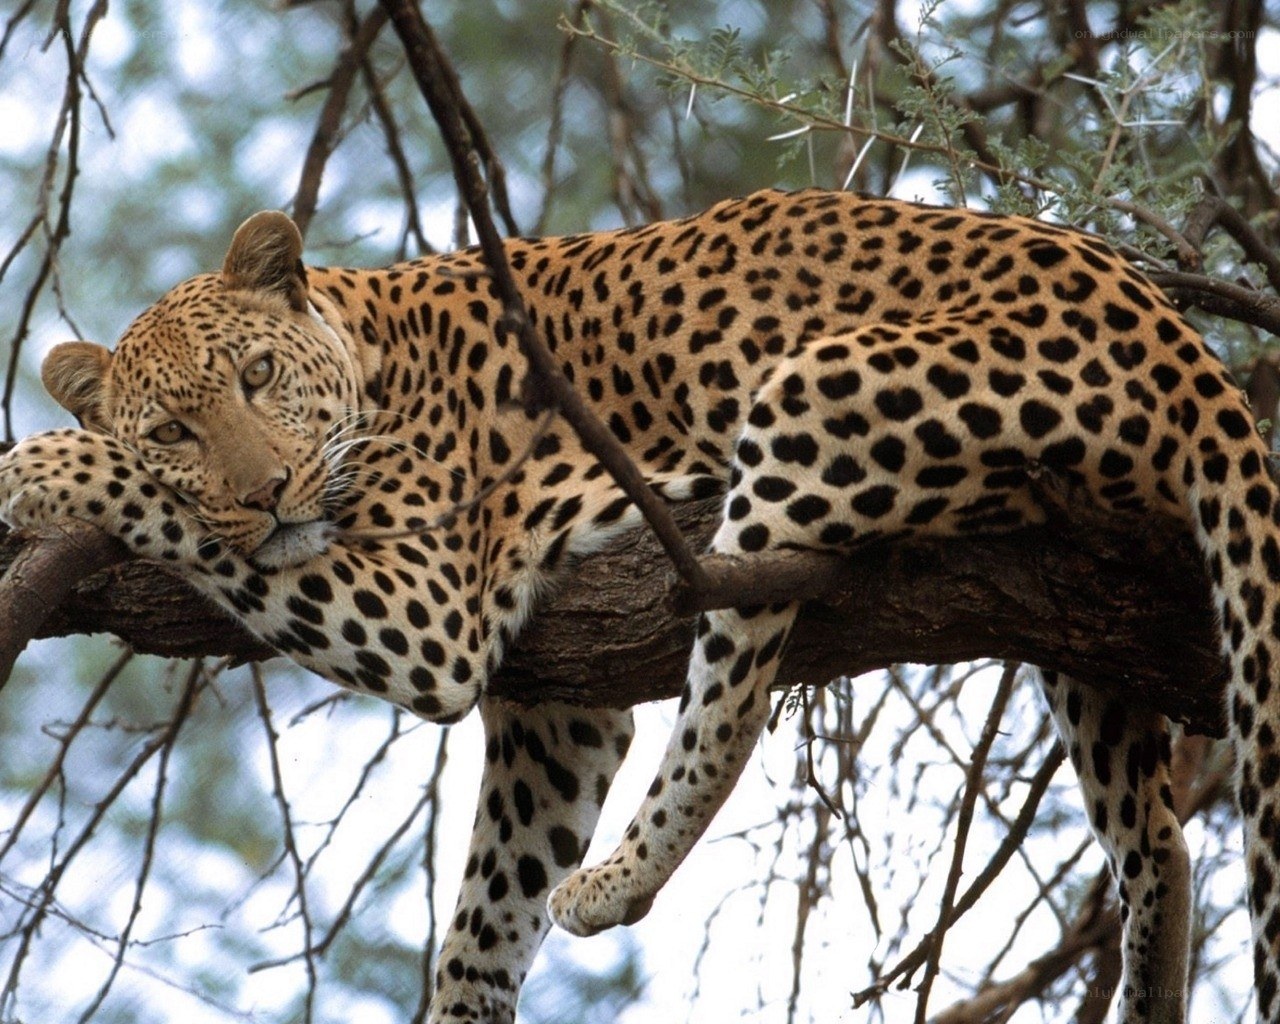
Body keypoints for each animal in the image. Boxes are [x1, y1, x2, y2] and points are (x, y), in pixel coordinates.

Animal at [1, 188, 1277, 1024]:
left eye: (258, 378)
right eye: (175, 427)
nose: (266, 493)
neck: (369, 348)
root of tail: (1177, 336)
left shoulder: (428, 611)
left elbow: (150, 508)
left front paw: (39, 465)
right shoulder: (555, 710)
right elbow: (484, 913)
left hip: (806, 400)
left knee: (731, 705)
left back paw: (617, 880)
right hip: (1079, 617)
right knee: (1156, 836)